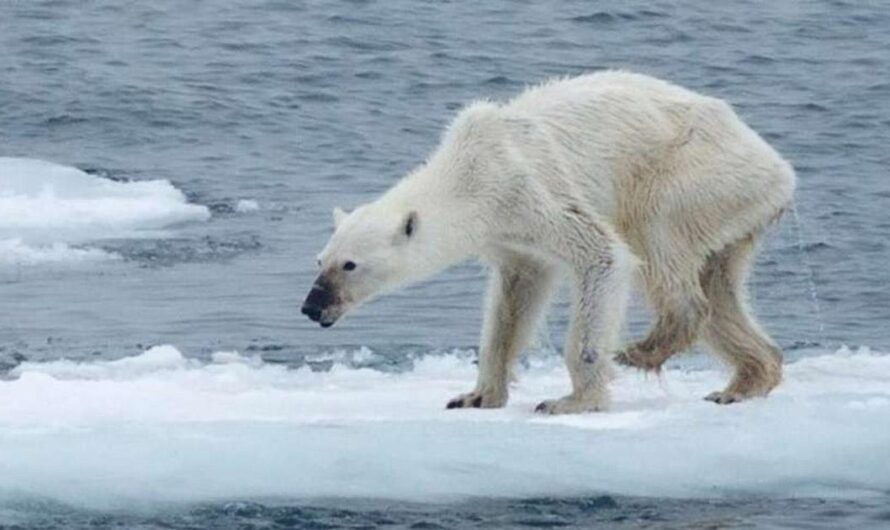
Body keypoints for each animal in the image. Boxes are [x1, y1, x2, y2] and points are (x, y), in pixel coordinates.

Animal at [302, 71, 796, 412]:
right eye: (319, 260)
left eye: (350, 265)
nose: (311, 306)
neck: (470, 172)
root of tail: (780, 168)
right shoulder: (509, 237)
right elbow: (513, 301)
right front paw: (475, 395)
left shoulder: (529, 190)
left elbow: (603, 255)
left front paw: (571, 401)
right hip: (733, 210)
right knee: (720, 287)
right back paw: (744, 382)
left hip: (694, 174)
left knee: (657, 238)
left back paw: (643, 349)